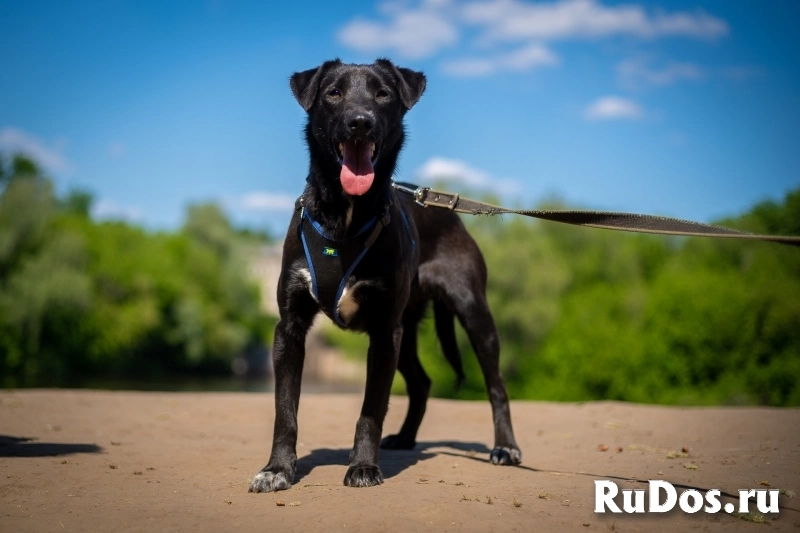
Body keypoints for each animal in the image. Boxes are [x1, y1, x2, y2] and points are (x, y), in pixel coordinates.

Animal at [250, 58, 524, 490]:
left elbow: (371, 408)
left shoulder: (382, 332)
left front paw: (363, 467)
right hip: (405, 330)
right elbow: (285, 410)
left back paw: (506, 447)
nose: (359, 122)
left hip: (471, 313)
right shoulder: (290, 327)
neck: (344, 216)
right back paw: (406, 438)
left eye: (382, 94)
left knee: (496, 385)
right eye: (333, 93)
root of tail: (447, 211)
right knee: (422, 382)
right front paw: (277, 469)